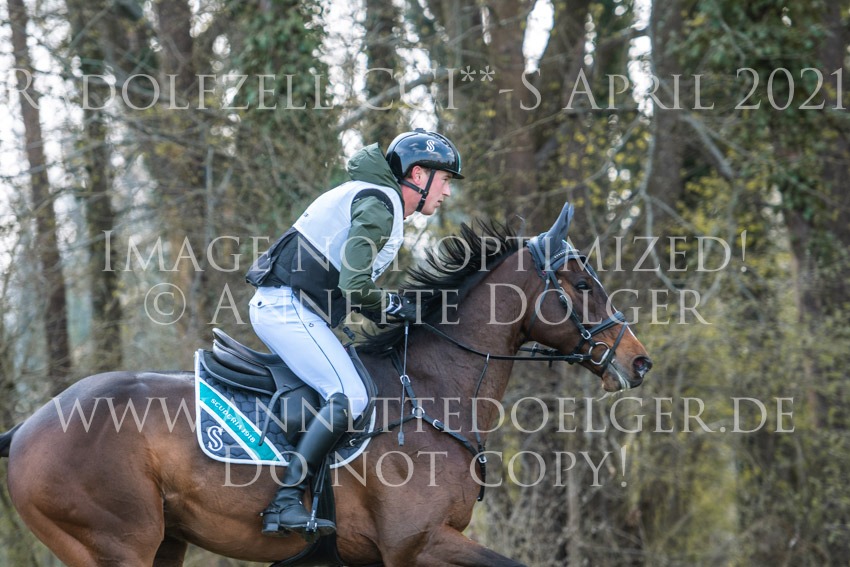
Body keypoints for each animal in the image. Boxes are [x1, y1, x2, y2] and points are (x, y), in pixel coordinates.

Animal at [0, 203, 652, 566]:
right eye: (583, 284)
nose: (639, 361)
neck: (432, 394)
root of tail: (30, 426)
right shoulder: (418, 544)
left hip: (164, 544)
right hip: (114, 545)